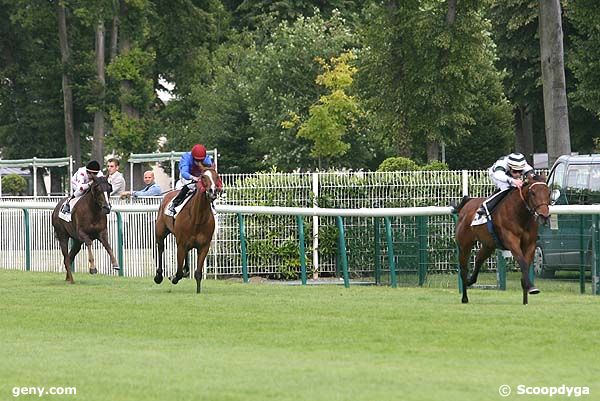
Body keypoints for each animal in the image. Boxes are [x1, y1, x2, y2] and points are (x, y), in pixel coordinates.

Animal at [454, 174, 548, 304]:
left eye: (548, 192)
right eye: (533, 193)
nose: (544, 215)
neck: (520, 214)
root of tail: (467, 204)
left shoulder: (530, 244)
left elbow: (526, 265)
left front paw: (526, 299)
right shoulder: (512, 242)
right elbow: (523, 263)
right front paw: (532, 287)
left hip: (488, 245)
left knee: (478, 259)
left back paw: (470, 281)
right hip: (465, 244)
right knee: (463, 269)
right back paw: (464, 297)